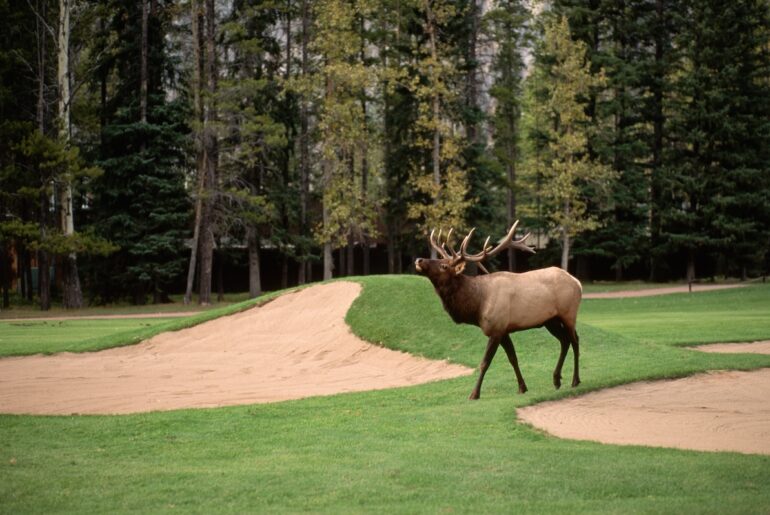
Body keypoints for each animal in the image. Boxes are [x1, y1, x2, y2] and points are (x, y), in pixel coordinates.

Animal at [414, 221, 583, 400]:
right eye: (440, 258)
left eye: (444, 266)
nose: (419, 259)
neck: (477, 306)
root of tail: (577, 282)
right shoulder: (504, 330)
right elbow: (513, 358)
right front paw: (522, 387)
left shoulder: (496, 328)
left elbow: (484, 363)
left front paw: (474, 394)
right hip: (550, 321)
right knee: (564, 341)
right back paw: (556, 379)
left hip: (569, 313)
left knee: (575, 340)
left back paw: (575, 380)